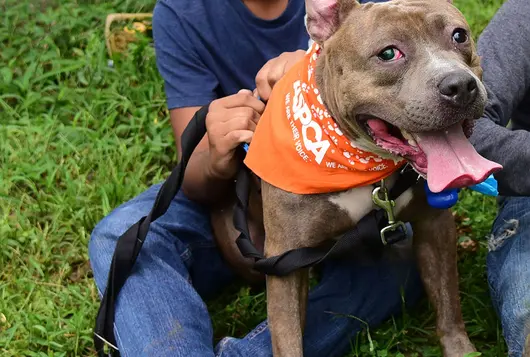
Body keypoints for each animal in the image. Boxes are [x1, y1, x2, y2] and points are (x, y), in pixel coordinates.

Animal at [208, 0, 502, 356]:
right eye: (388, 53)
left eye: (459, 35)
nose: (459, 85)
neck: (360, 165)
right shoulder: (283, 261)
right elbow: (287, 337)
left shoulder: (435, 225)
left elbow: (448, 302)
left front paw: (460, 348)